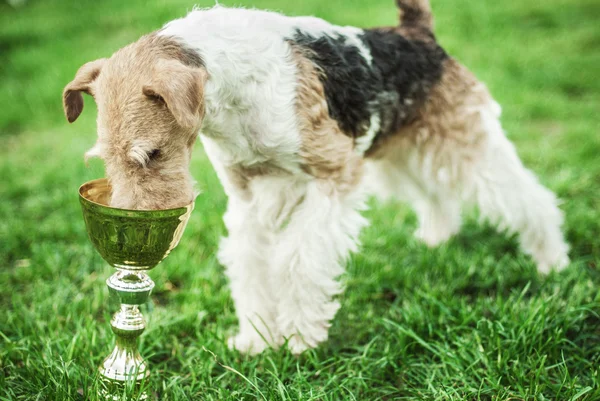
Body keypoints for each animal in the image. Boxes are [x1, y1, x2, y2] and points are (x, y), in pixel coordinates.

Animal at [63, 0, 568, 354]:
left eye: (151, 153)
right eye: (105, 161)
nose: (133, 245)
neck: (230, 82)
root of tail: (415, 31)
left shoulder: (334, 175)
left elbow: (298, 261)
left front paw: (300, 338)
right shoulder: (248, 197)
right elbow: (251, 265)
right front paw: (256, 339)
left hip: (466, 142)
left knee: (529, 198)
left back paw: (552, 262)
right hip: (398, 151)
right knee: (434, 197)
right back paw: (435, 238)